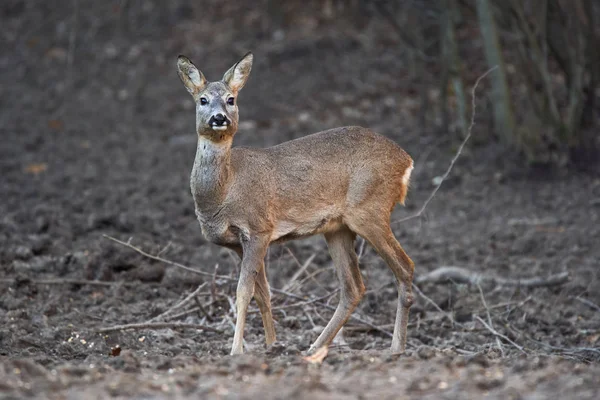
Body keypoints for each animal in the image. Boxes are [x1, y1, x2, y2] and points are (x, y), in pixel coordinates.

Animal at [176, 51, 414, 354]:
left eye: (231, 99)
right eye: (203, 100)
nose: (219, 118)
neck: (224, 192)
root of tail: (406, 161)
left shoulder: (259, 228)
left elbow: (243, 292)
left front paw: (236, 350)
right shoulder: (239, 243)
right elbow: (262, 293)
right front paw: (271, 344)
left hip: (370, 209)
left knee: (405, 267)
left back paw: (396, 348)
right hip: (337, 228)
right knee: (353, 287)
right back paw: (315, 347)